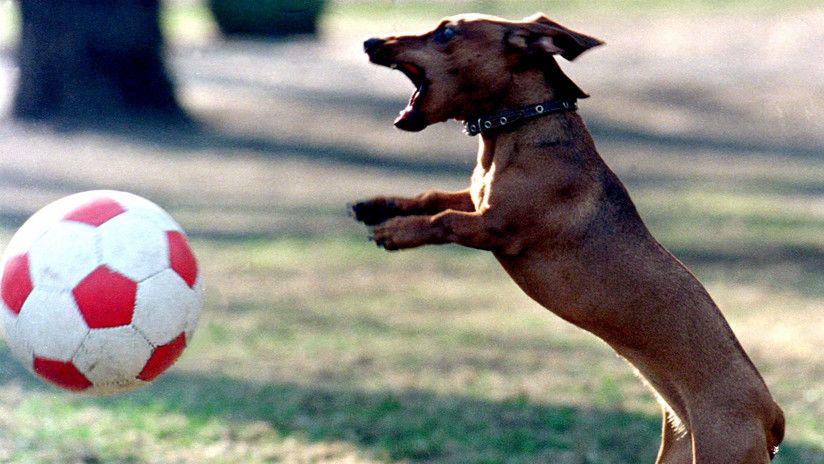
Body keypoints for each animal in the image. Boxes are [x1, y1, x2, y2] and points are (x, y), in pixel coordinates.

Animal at [350, 12, 784, 462]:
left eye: (447, 32)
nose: (369, 42)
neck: (520, 133)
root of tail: (772, 415)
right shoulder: (477, 199)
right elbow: (433, 197)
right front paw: (379, 206)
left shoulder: (496, 227)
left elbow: (444, 219)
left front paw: (396, 231)